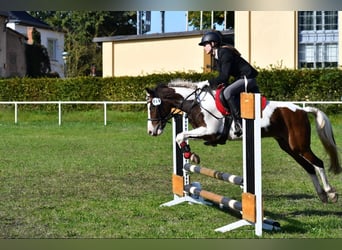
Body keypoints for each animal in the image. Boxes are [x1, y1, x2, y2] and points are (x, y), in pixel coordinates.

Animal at [146, 79, 340, 203]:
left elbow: (180, 136)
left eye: (153, 107)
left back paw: (331, 193)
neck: (196, 103)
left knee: (318, 163)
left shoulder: (209, 131)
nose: (151, 131)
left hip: (300, 145)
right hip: (289, 147)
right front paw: (190, 155)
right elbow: (181, 136)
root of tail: (301, 110)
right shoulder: (203, 132)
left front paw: (191, 155)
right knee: (309, 167)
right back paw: (322, 195)